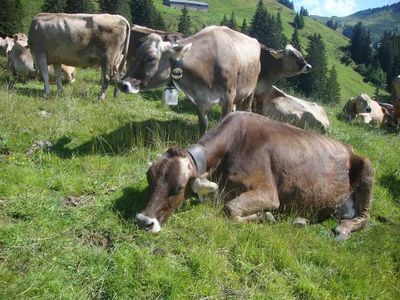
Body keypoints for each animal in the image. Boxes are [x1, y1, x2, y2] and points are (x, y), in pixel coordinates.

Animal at [118, 25, 262, 134]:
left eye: (151, 58)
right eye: (136, 54)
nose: (123, 84)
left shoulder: (228, 97)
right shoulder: (197, 99)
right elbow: (203, 125)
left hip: (250, 91)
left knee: (247, 108)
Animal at [136, 111, 374, 240]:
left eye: (178, 187)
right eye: (150, 180)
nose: (143, 221)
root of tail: (349, 147)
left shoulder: (268, 192)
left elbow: (230, 209)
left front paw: (265, 216)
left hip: (368, 167)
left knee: (364, 217)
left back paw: (343, 229)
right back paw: (301, 220)